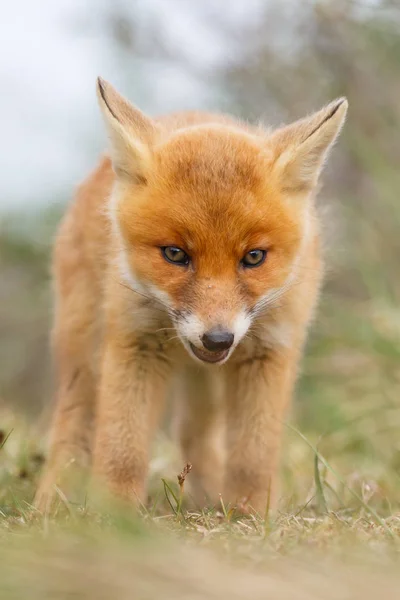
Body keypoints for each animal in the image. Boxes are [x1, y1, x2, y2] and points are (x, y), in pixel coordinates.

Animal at [34, 77, 346, 512]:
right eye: (175, 254)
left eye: (253, 257)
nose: (218, 339)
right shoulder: (135, 342)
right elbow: (121, 449)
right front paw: (115, 516)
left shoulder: (271, 349)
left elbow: (253, 457)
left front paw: (251, 515)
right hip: (82, 349)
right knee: (73, 426)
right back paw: (51, 503)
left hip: (205, 387)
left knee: (193, 432)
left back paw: (208, 497)